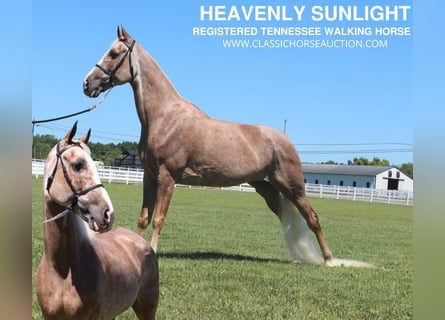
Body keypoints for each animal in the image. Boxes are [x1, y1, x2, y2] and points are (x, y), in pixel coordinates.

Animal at [82, 25, 332, 264]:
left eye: (114, 53)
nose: (87, 83)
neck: (165, 117)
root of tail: (284, 140)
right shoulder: (149, 176)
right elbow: (144, 218)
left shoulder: (167, 178)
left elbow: (159, 219)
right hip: (267, 188)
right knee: (288, 221)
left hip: (293, 187)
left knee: (312, 217)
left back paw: (328, 259)